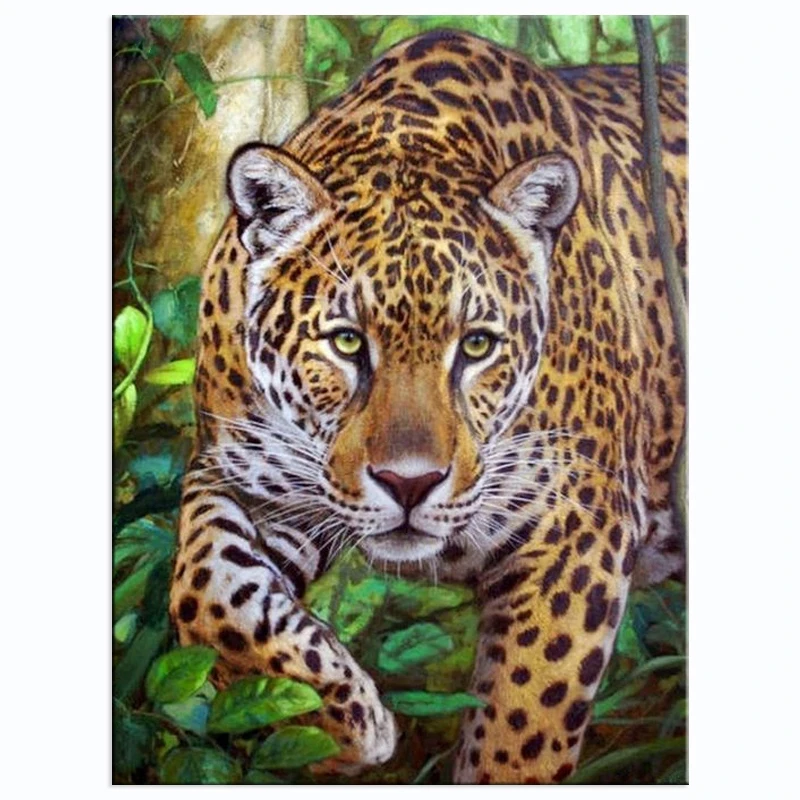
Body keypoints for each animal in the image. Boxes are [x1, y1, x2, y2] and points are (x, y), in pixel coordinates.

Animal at [169, 29, 686, 784]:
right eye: (347, 342)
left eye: (476, 345)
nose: (409, 484)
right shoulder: (246, 473)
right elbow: (206, 590)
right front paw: (331, 718)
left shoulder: (579, 527)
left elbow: (522, 727)